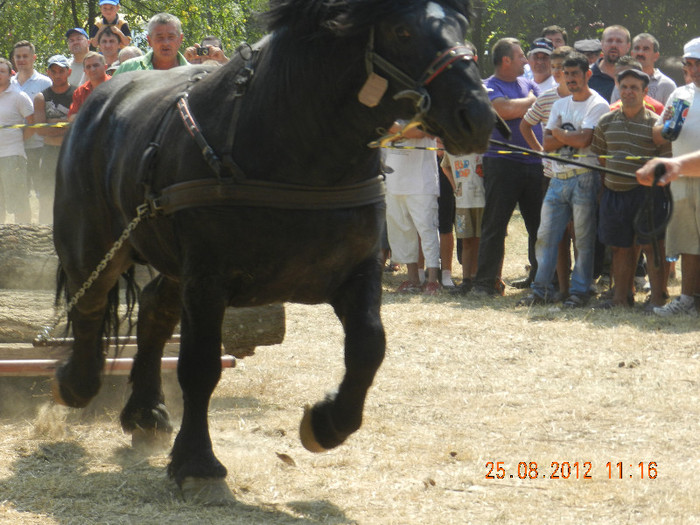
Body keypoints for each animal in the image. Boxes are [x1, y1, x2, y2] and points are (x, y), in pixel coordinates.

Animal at [52, 0, 494, 502]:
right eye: (401, 30)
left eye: (461, 25)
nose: (477, 116)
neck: (295, 148)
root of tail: (100, 98)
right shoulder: (207, 279)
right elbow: (200, 366)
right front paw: (197, 461)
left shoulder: (358, 270)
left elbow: (368, 346)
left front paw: (328, 423)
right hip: (96, 241)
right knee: (90, 302)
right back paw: (77, 383)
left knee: (152, 311)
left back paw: (145, 412)